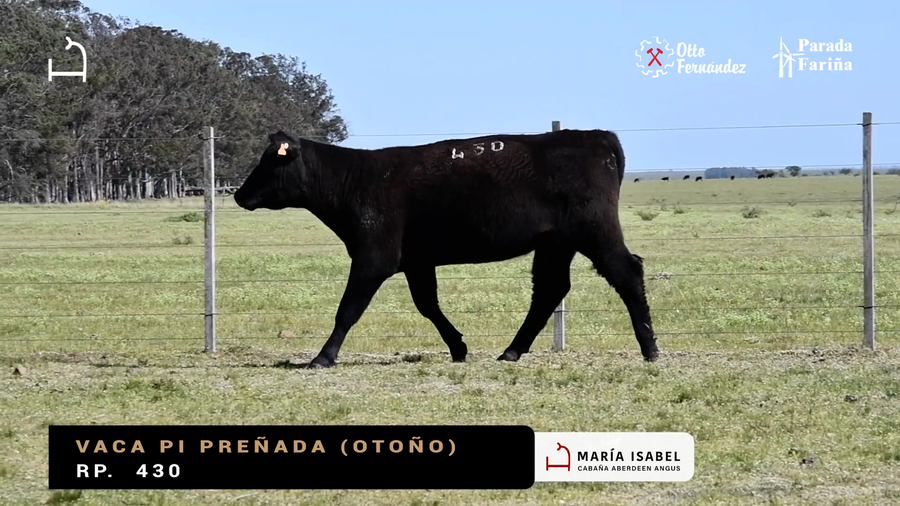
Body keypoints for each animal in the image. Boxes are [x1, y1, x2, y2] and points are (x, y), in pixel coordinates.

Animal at [233, 129, 659, 368]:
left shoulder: (373, 257)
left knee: (627, 272)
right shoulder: (417, 261)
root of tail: (594, 135)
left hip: (595, 231)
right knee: (549, 290)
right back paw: (511, 351)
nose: (238, 194)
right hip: (556, 243)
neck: (355, 179)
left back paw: (650, 348)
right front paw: (458, 347)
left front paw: (323, 356)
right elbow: (427, 305)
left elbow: (348, 309)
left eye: (270, 161)